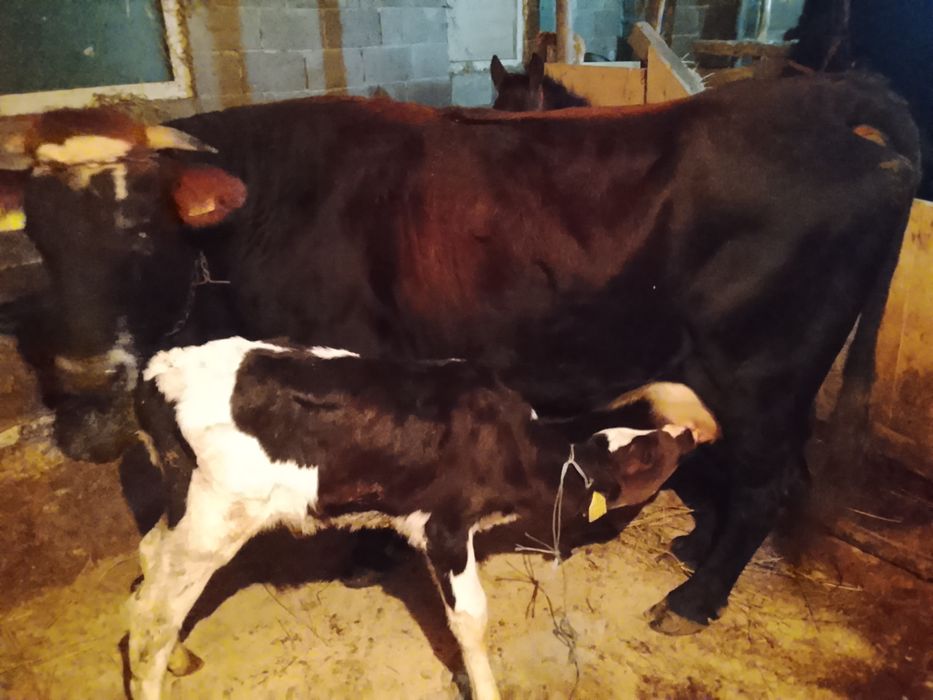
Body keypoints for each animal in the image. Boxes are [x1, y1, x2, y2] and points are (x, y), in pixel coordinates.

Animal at [0, 73, 920, 634]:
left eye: (140, 228)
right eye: (39, 236)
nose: (81, 378)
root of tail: (809, 106)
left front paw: (367, 559)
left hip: (762, 374)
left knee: (767, 482)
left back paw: (693, 599)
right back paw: (697, 552)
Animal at [129, 336, 719, 700]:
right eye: (650, 454)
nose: (690, 435)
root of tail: (155, 372)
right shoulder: (444, 527)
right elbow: (472, 619)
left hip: (187, 511)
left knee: (147, 563)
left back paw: (179, 657)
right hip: (214, 521)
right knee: (153, 616)